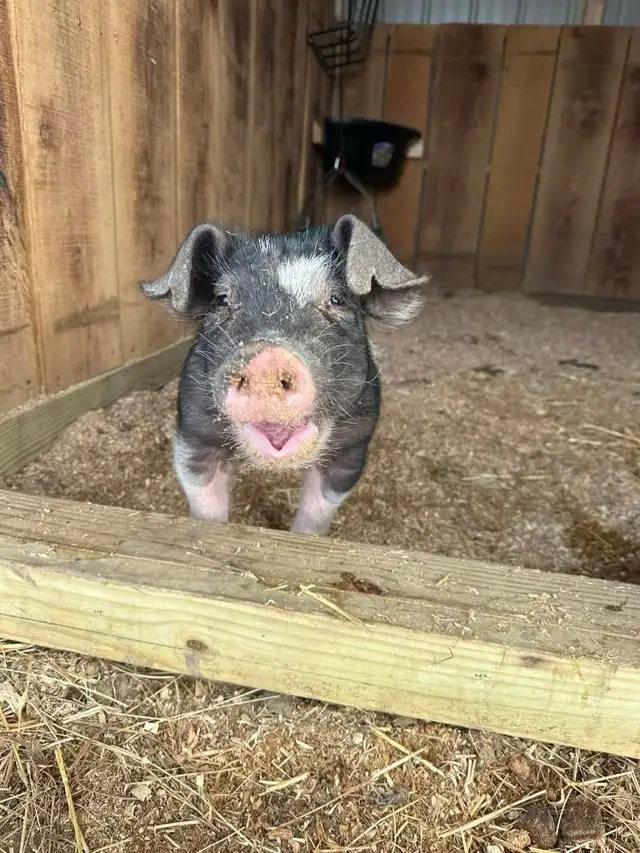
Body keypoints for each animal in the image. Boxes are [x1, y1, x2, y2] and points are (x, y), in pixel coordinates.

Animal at [140, 213, 428, 536]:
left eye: (337, 299)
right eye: (222, 299)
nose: (267, 356)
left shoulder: (354, 442)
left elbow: (317, 512)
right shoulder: (193, 430)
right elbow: (206, 504)